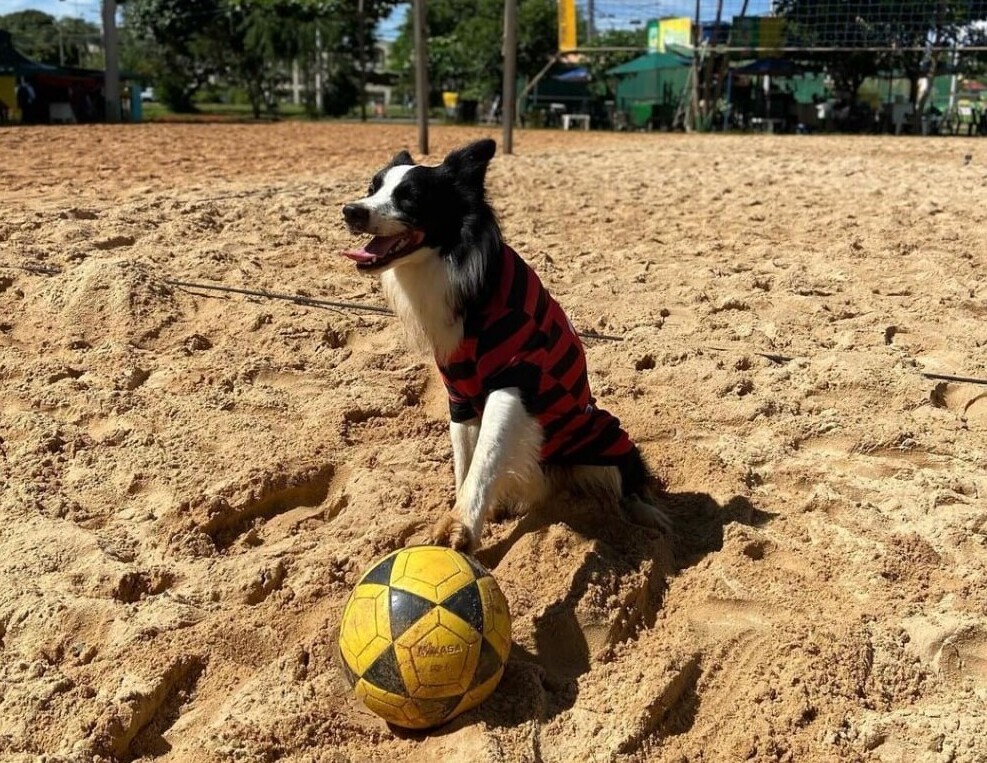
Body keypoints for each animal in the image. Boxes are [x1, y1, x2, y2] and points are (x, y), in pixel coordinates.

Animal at [342, 140, 672, 552]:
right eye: (372, 188)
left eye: (410, 197)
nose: (351, 211)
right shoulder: (458, 394)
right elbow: (465, 457)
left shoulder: (513, 379)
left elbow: (487, 453)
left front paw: (460, 524)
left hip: (605, 437)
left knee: (628, 483)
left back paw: (645, 515)